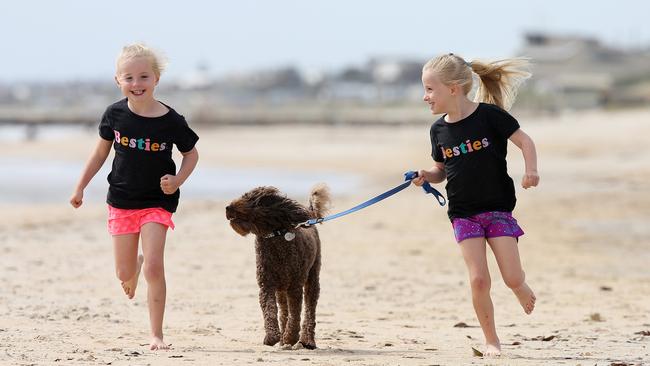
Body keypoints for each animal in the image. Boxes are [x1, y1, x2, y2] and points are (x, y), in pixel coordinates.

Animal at [228, 184, 330, 348]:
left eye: (253, 200)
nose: (228, 207)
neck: (275, 235)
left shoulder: (295, 286)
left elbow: (295, 314)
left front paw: (290, 337)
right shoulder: (266, 285)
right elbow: (269, 311)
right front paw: (272, 337)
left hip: (312, 277)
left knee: (309, 308)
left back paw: (307, 340)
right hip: (281, 289)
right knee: (283, 311)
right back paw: (282, 338)